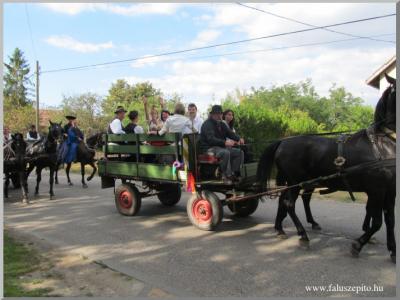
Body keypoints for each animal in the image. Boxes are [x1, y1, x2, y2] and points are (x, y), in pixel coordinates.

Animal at [258, 75, 396, 262]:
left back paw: (280, 228)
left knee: (285, 201)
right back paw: (303, 236)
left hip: (295, 182)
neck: (381, 145)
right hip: (296, 181)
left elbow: (390, 220)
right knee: (289, 203)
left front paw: (393, 251)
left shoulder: (390, 190)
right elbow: (377, 222)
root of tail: (283, 141)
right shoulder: (377, 190)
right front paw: (357, 245)